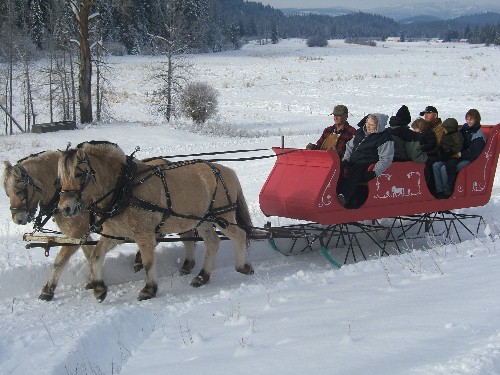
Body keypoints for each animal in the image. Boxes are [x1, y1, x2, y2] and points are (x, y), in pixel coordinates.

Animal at [4, 151, 199, 302]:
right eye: (6, 193)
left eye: (19, 190)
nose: (17, 219)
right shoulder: (83, 234)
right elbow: (90, 254)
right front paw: (93, 281)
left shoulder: (77, 231)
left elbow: (60, 261)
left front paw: (48, 289)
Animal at [57, 142, 254, 302]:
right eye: (60, 178)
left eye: (79, 173)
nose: (65, 208)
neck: (124, 187)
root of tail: (228, 171)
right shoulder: (116, 233)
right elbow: (96, 255)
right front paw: (99, 288)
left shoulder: (143, 234)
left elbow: (148, 261)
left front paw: (149, 289)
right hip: (203, 220)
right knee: (213, 242)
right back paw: (202, 276)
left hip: (223, 216)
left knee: (240, 235)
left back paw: (243, 266)